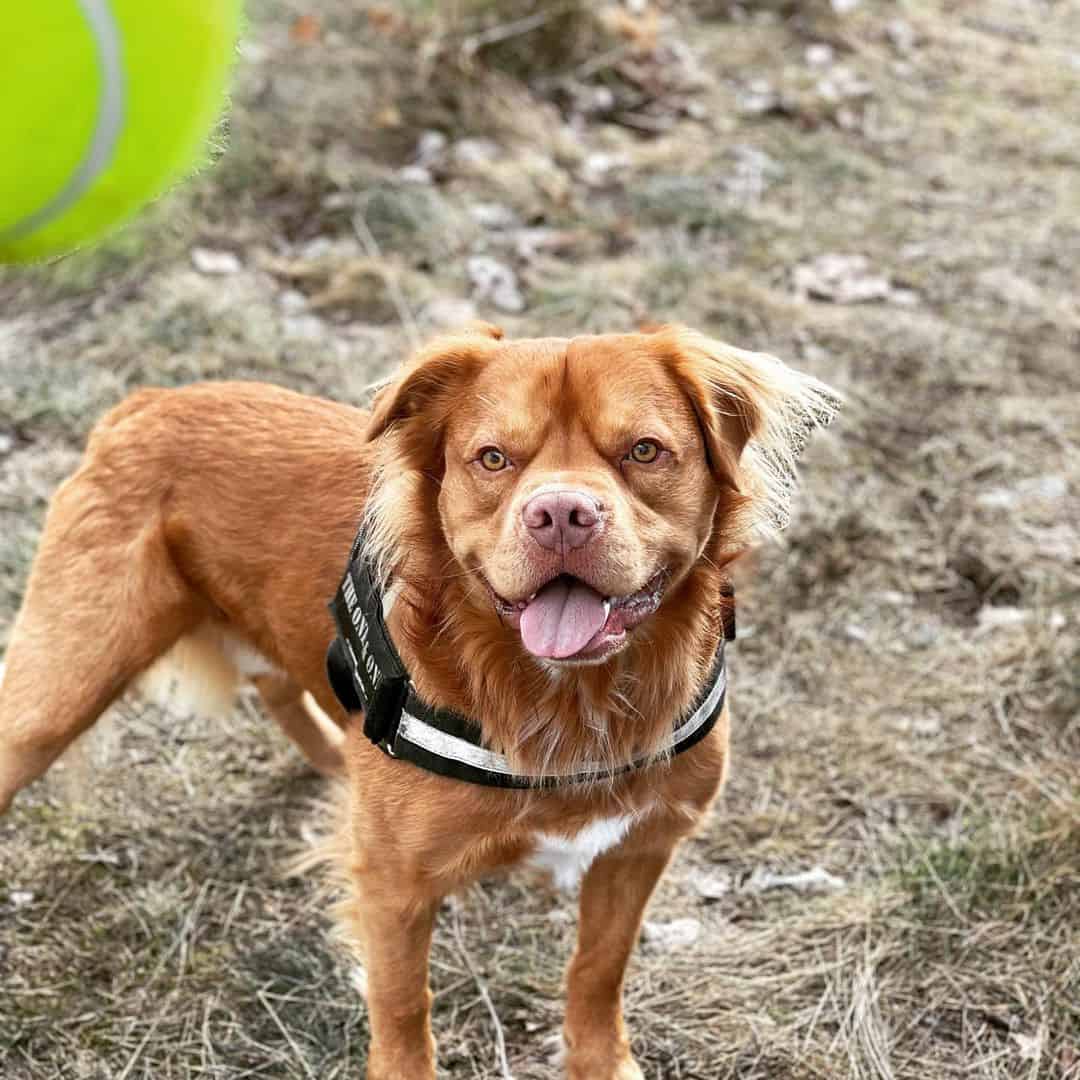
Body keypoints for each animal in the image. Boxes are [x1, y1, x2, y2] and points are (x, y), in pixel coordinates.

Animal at [0, 321, 833, 1080]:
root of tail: (145, 403)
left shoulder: (638, 847)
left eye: (644, 451)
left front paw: (600, 1062)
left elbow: (599, 969)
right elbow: (403, 1003)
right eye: (493, 459)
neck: (564, 694)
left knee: (277, 680)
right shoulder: (395, 881)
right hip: (58, 689)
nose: (561, 515)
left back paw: (335, 756)